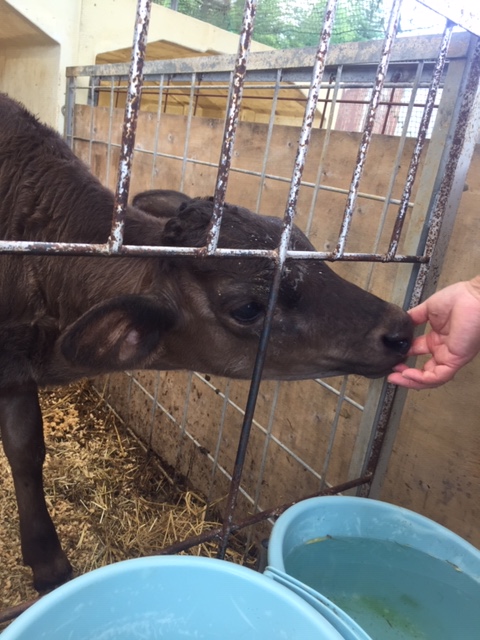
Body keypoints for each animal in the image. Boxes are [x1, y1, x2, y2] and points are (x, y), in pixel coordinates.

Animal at [0, 94, 412, 592]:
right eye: (248, 308)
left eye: (305, 243)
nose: (401, 329)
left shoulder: (16, 372)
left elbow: (26, 449)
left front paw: (47, 561)